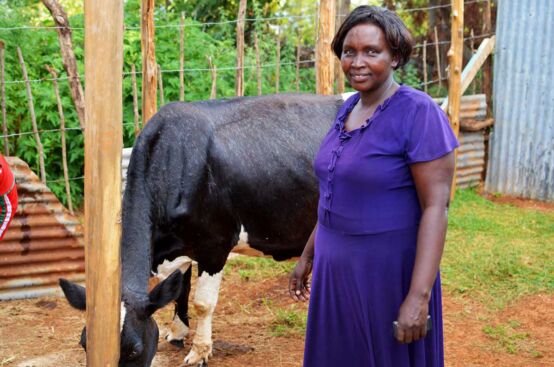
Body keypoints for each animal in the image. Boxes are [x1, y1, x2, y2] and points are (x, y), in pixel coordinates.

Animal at [59, 93, 344, 366]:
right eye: (84, 344)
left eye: (135, 350)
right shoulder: (178, 246)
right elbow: (179, 290)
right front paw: (177, 333)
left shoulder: (215, 246)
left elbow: (203, 303)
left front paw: (199, 351)